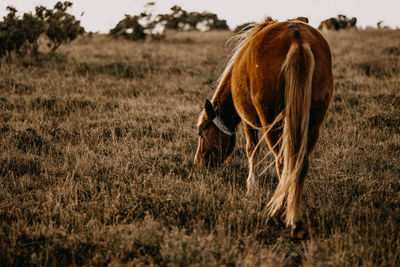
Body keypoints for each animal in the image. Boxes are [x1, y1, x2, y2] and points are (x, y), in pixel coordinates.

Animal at [195, 19, 332, 241]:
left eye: (200, 132)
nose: (198, 163)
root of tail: (297, 39)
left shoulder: (248, 121)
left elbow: (252, 150)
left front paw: (251, 187)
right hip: (313, 121)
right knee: (299, 164)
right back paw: (296, 220)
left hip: (270, 120)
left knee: (283, 161)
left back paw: (279, 214)